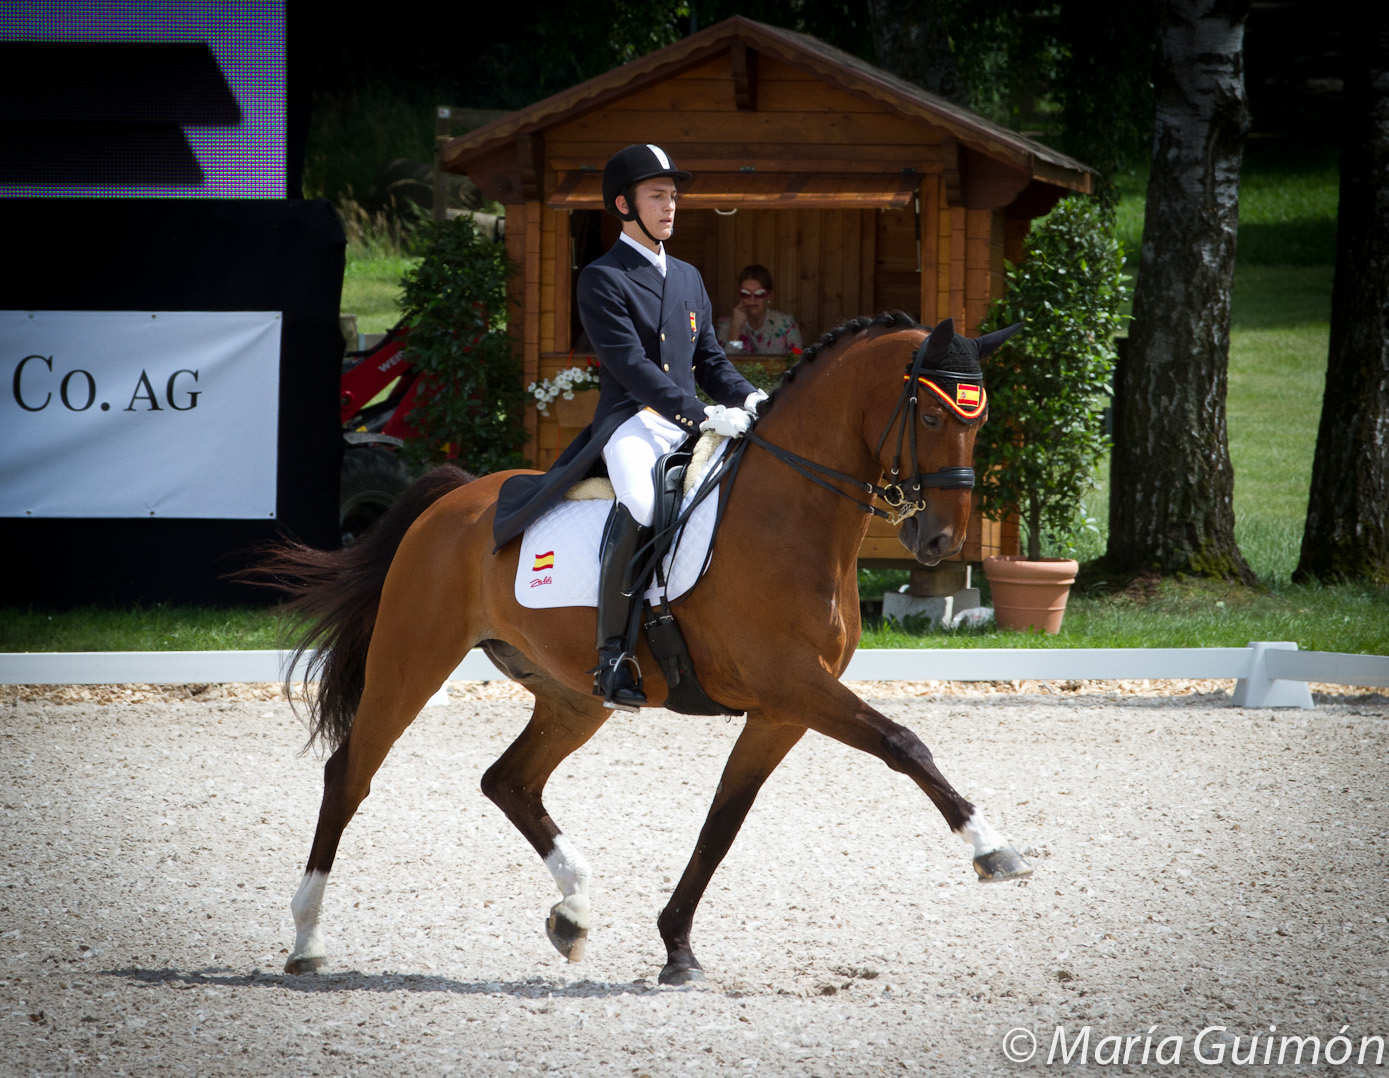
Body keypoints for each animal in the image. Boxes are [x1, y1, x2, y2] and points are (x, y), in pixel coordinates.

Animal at [256, 311, 1032, 986]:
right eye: (930, 417)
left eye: (980, 421)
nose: (937, 540)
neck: (791, 515)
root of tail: (454, 499)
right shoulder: (792, 684)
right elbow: (904, 743)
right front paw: (993, 849)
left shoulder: (781, 709)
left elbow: (722, 822)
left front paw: (677, 948)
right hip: (411, 659)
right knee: (349, 775)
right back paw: (307, 942)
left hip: (574, 695)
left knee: (508, 781)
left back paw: (572, 911)